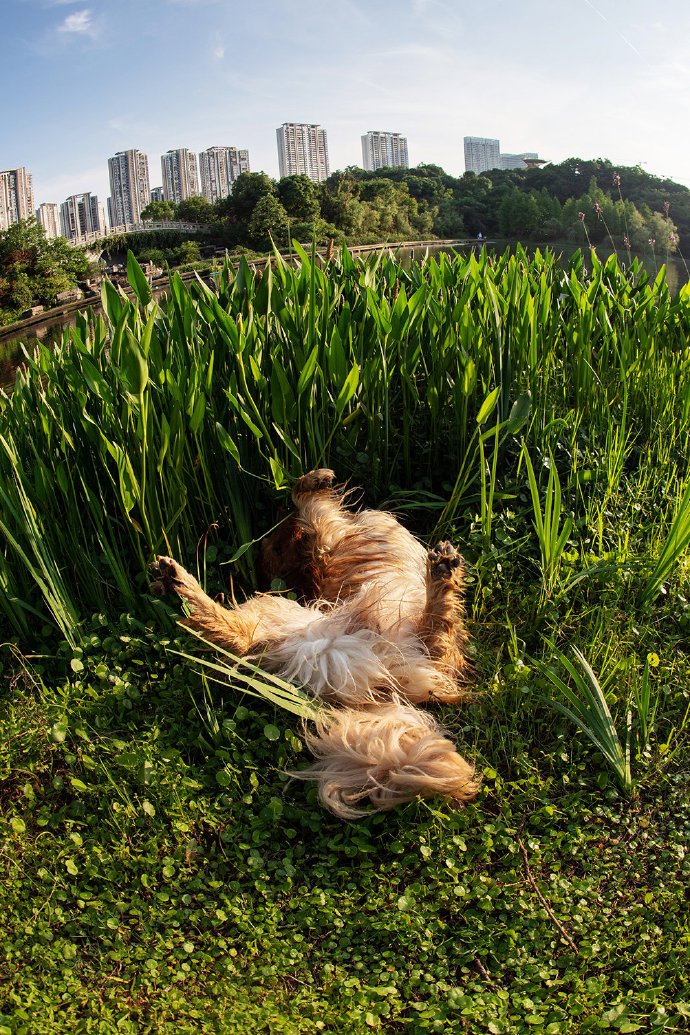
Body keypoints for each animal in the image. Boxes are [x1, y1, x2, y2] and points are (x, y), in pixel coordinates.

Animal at [148, 469, 477, 815]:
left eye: (273, 545)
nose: (277, 514)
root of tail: (377, 693)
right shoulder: (329, 541)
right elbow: (314, 513)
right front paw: (312, 483)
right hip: (286, 617)